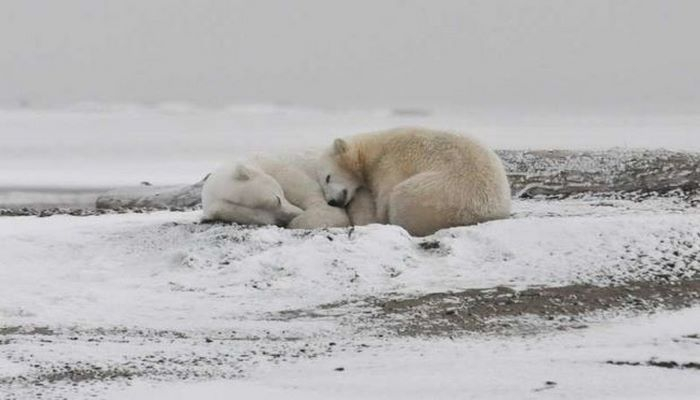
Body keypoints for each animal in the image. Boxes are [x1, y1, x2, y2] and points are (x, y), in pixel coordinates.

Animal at [316, 126, 508, 236]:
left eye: (327, 177)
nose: (332, 202)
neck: (375, 149)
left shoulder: (390, 164)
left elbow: (382, 206)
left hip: (435, 192)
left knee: (400, 197)